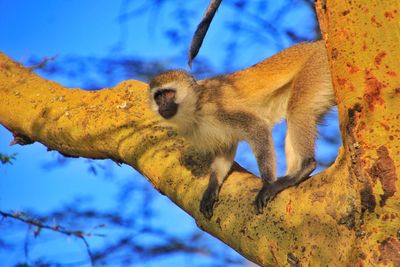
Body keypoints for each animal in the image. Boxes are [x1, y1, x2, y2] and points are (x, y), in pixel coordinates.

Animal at [148, 40, 332, 219]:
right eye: (158, 97)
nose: (163, 106)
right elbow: (224, 150)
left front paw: (267, 184)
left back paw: (305, 167)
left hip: (316, 68)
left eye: (168, 94)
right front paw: (212, 186)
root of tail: (318, 44)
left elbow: (256, 127)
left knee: (296, 110)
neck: (195, 107)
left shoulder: (218, 107)